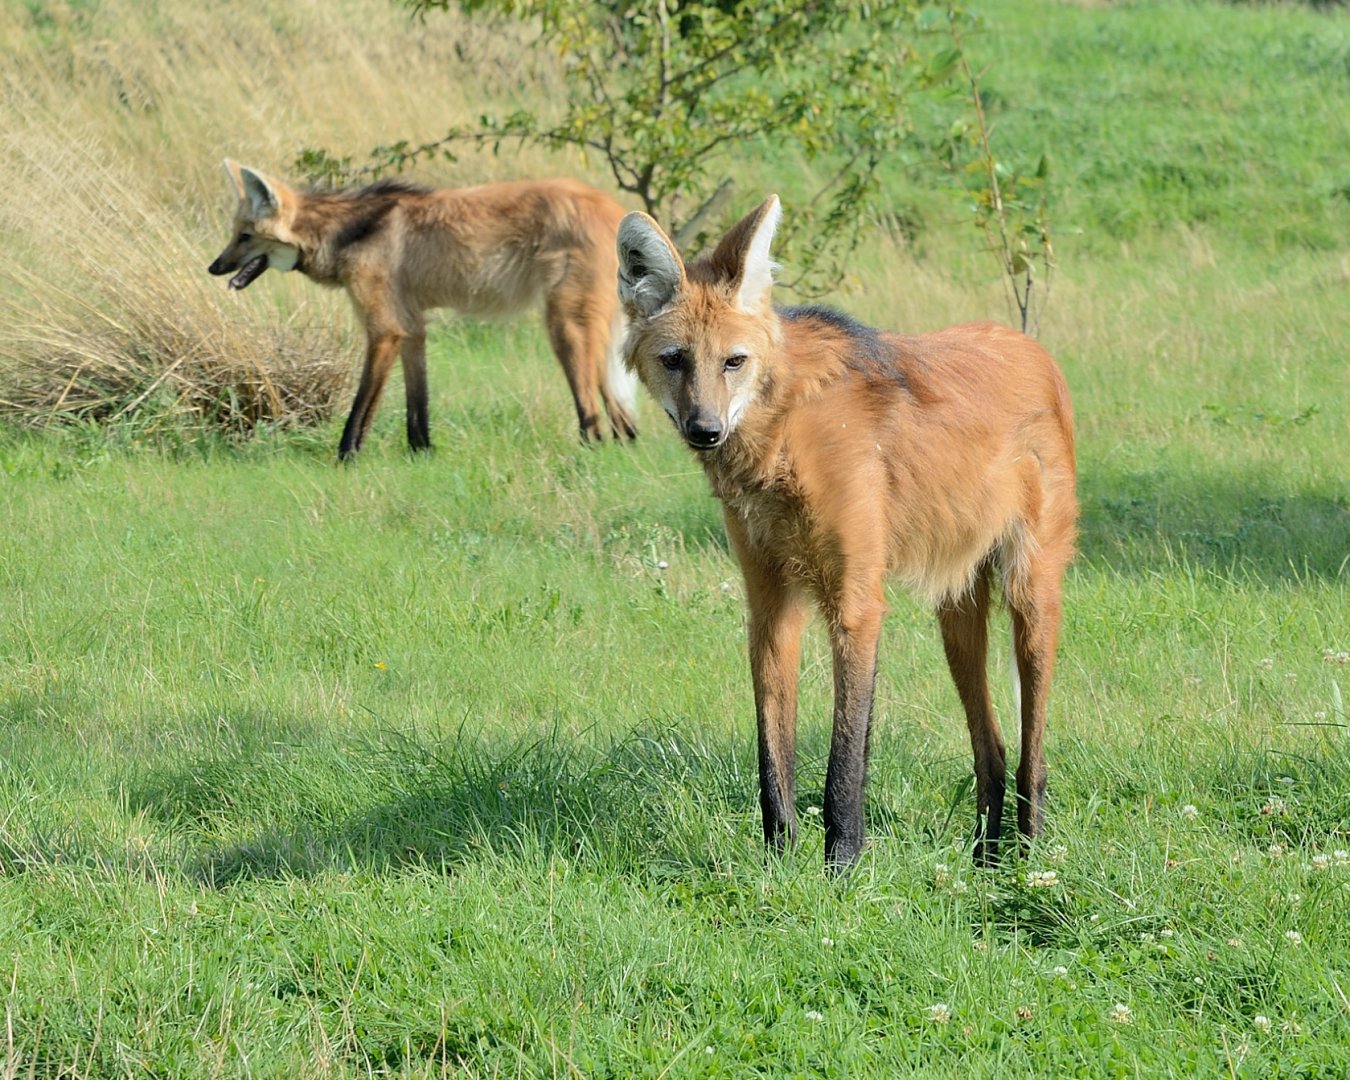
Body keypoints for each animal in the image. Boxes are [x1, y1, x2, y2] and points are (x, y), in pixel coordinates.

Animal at [208, 161, 637, 458]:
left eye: (244, 237)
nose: (214, 267)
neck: (347, 232)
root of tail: (615, 208)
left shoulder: (385, 330)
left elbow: (361, 407)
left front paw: (346, 457)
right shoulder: (412, 327)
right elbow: (418, 405)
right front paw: (422, 453)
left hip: (564, 327)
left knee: (593, 416)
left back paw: (587, 455)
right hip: (588, 333)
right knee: (623, 419)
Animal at [616, 195, 1078, 870]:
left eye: (734, 361)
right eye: (674, 360)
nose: (705, 430)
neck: (782, 436)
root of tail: (1034, 348)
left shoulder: (856, 604)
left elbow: (845, 762)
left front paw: (842, 868)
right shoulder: (771, 603)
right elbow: (772, 757)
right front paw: (779, 865)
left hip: (1030, 593)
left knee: (1031, 751)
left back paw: (1028, 859)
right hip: (956, 614)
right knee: (988, 749)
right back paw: (984, 861)